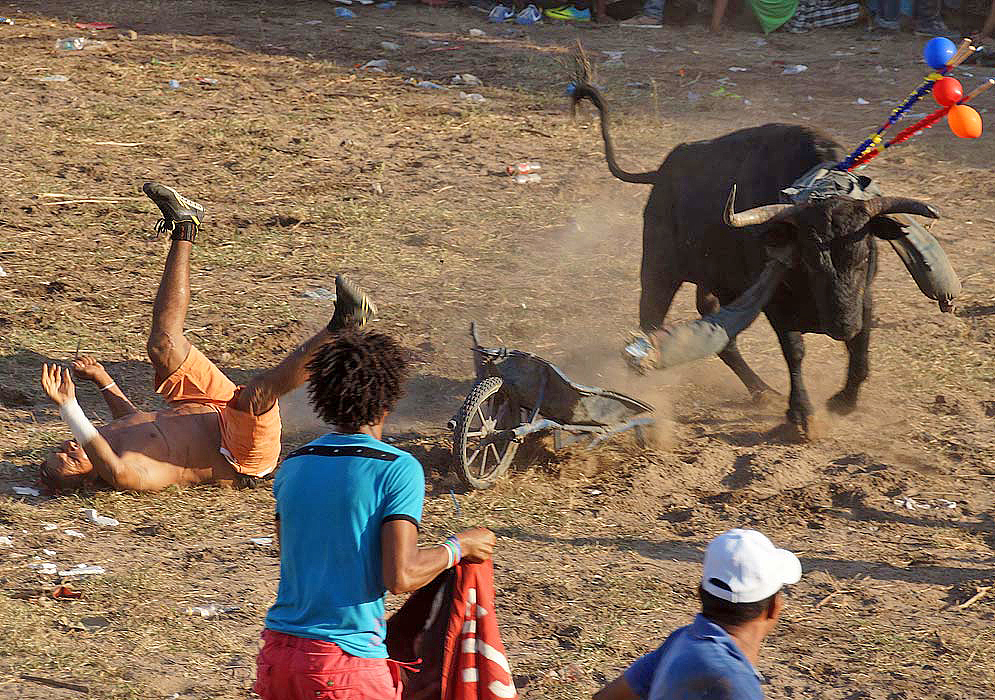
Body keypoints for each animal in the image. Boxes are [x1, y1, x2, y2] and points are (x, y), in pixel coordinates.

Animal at [572, 82, 960, 438]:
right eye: (808, 258)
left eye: (864, 255)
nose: (840, 327)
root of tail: (663, 172)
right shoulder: (777, 305)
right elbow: (796, 352)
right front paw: (802, 414)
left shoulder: (863, 297)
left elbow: (861, 350)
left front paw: (844, 401)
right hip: (659, 269)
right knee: (652, 319)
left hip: (713, 282)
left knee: (719, 331)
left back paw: (762, 391)